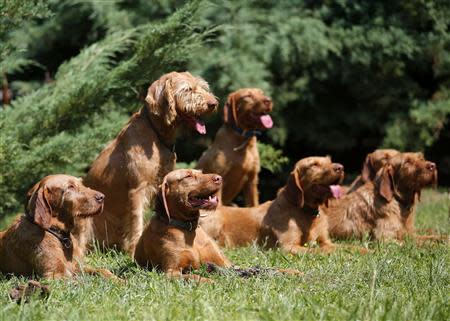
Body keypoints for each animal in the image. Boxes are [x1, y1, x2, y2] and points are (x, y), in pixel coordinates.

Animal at [79, 71, 220, 254]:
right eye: (187, 89)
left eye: (202, 87)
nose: (213, 103)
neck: (156, 135)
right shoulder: (138, 189)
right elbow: (136, 220)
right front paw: (135, 248)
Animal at [200, 156, 352, 254]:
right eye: (314, 165)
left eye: (330, 162)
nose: (341, 167)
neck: (306, 211)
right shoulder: (288, 246)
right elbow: (319, 250)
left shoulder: (326, 240)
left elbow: (344, 247)